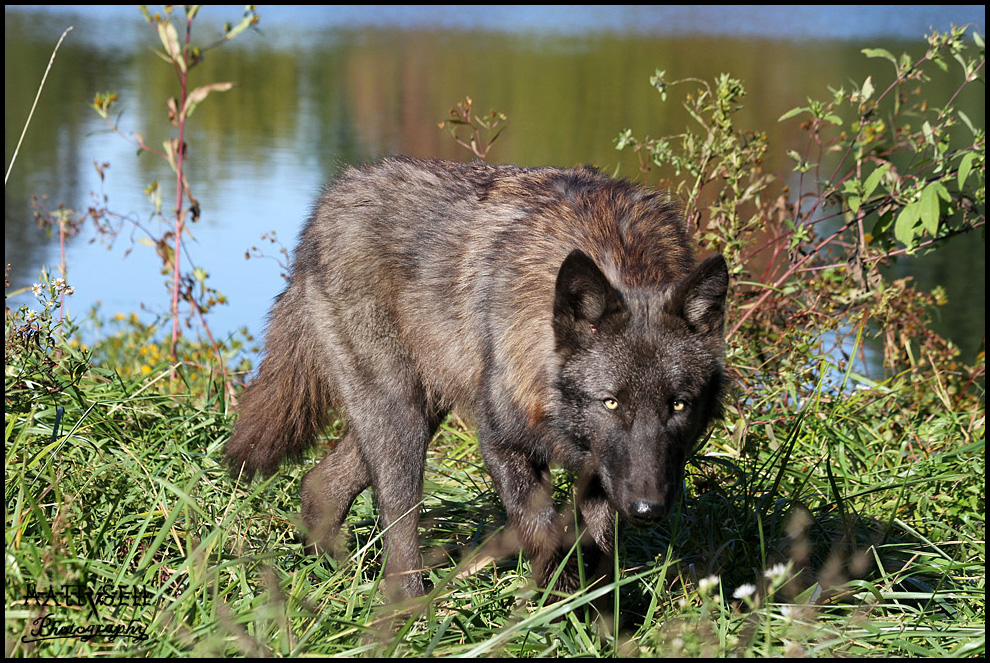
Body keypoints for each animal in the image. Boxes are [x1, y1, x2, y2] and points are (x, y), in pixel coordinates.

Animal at [229, 157, 732, 600]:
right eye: (610, 402)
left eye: (678, 405)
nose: (648, 509)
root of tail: (332, 199)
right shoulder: (501, 442)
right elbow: (543, 536)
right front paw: (561, 611)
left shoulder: (601, 473)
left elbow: (603, 553)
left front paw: (607, 626)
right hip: (401, 423)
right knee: (398, 524)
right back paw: (409, 613)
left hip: (420, 410)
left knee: (320, 485)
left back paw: (334, 575)